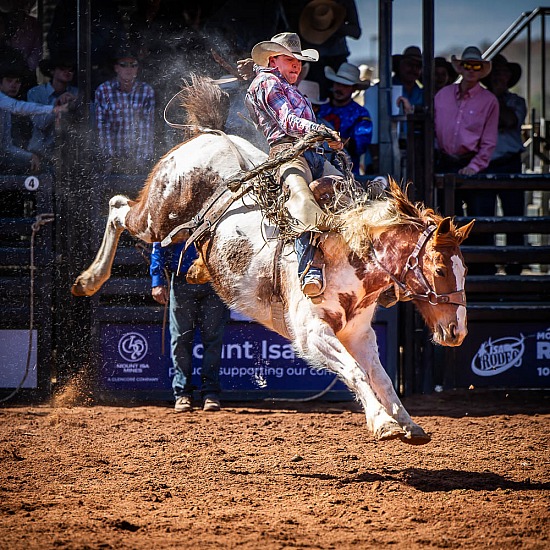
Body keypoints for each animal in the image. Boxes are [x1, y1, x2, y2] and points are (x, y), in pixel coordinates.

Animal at [72, 76, 474, 444]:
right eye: (440, 268)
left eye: (465, 270)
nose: (458, 332)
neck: (348, 252)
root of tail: (210, 135)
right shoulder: (313, 334)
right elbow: (356, 373)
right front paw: (383, 423)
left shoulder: (359, 334)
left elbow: (383, 378)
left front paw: (407, 423)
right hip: (157, 214)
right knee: (118, 209)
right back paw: (88, 280)